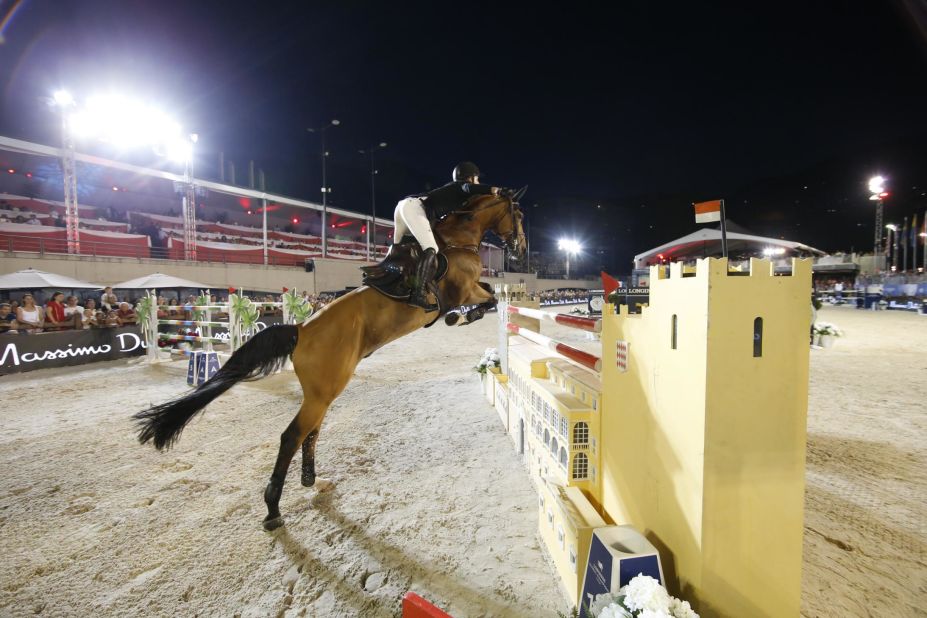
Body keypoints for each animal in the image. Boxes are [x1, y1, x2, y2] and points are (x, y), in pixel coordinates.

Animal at [131, 194, 524, 528]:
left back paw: (308, 478)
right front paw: (459, 317)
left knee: (311, 431)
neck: (458, 240)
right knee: (292, 436)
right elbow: (488, 298)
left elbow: (492, 295)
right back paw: (272, 509)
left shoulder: (472, 287)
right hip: (325, 389)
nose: (520, 249)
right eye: (518, 214)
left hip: (323, 391)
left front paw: (463, 317)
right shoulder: (464, 288)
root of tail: (301, 329)